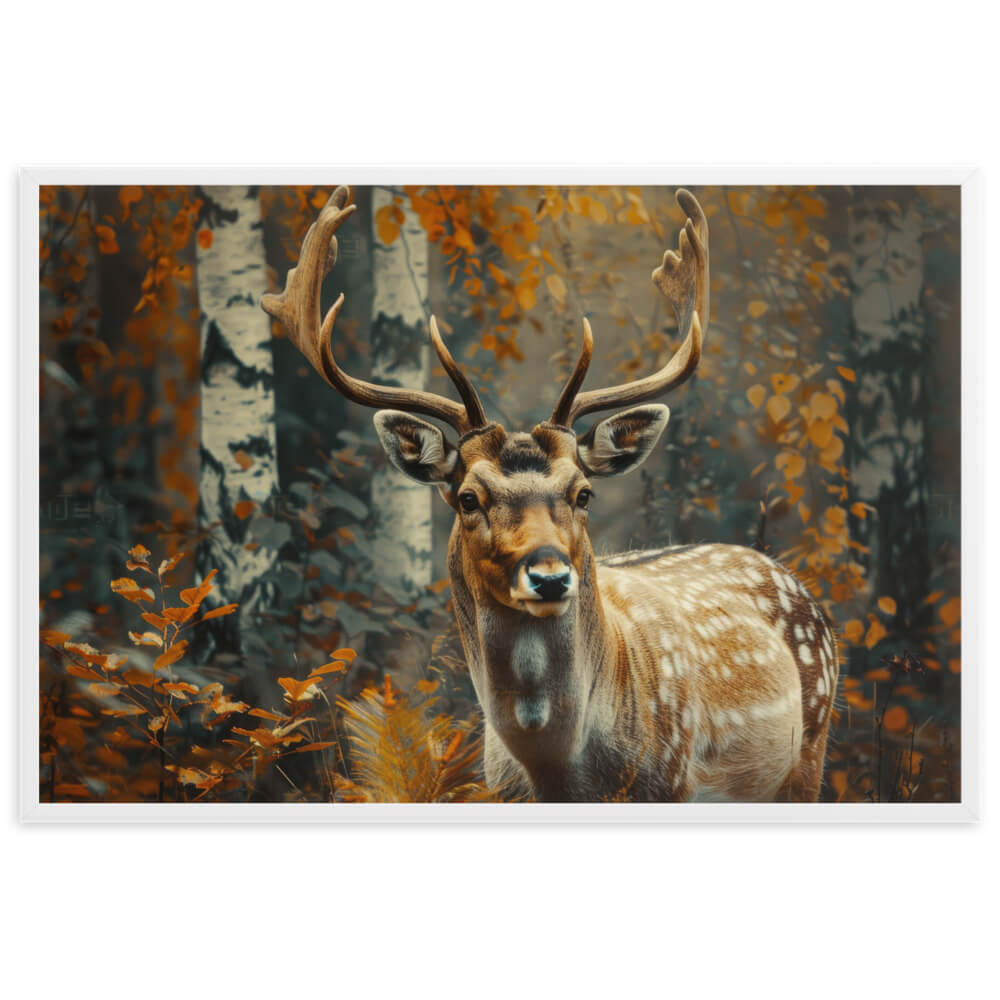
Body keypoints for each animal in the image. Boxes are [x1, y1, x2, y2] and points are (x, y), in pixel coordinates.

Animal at [262, 186, 839, 803]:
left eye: (583, 493)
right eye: (468, 498)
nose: (549, 576)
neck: (560, 773)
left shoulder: (674, 781)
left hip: (811, 749)